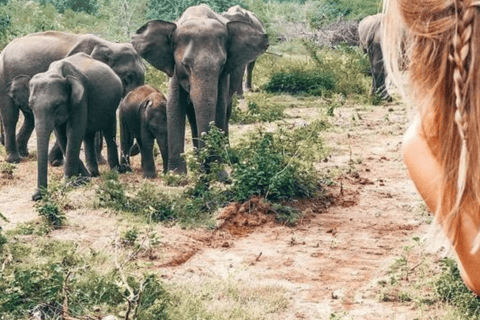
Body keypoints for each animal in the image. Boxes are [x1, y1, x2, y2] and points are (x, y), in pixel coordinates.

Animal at [0, 31, 144, 164]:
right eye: (128, 77)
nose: (132, 152)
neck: (109, 45)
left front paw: (100, 161)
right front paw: (55, 161)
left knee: (30, 117)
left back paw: (24, 153)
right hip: (5, 75)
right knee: (10, 115)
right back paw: (15, 159)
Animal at [29, 53, 124, 201]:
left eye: (56, 105)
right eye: (30, 106)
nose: (36, 196)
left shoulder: (80, 99)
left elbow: (73, 132)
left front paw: (69, 184)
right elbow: (62, 136)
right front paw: (83, 179)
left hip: (112, 105)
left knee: (109, 133)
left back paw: (115, 171)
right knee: (88, 136)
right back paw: (93, 173)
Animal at [131, 3, 268, 172]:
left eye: (222, 65)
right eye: (185, 65)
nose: (207, 165)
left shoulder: (224, 75)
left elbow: (219, 107)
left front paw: (216, 169)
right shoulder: (174, 70)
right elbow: (175, 107)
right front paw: (176, 174)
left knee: (226, 110)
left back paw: (223, 155)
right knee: (193, 116)